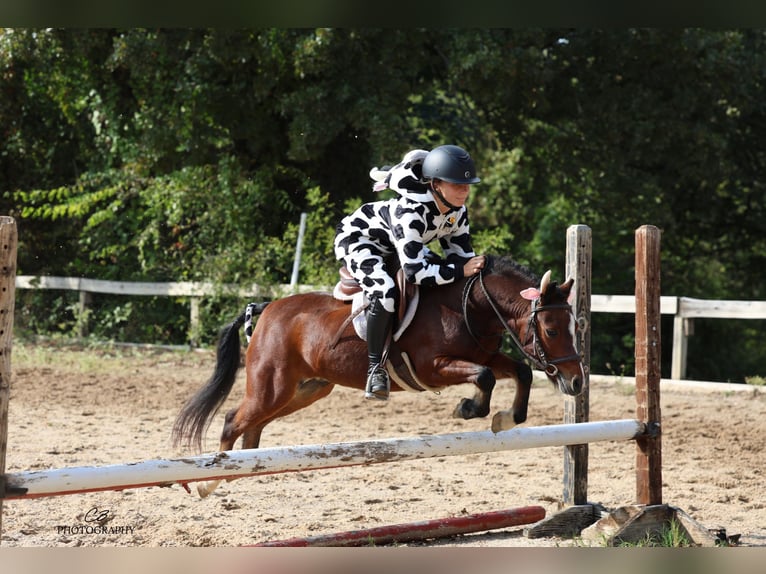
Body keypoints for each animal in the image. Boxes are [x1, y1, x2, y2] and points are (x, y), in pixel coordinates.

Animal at [172, 254, 585, 497]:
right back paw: (211, 482)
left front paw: (506, 418)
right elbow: (484, 377)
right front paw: (469, 409)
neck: (471, 305)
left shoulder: (485, 354)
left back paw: (244, 470)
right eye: (551, 330)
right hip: (272, 387)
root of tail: (269, 308)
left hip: (305, 391)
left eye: (575, 326)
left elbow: (519, 371)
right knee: (232, 419)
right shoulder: (434, 368)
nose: (576, 381)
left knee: (254, 426)